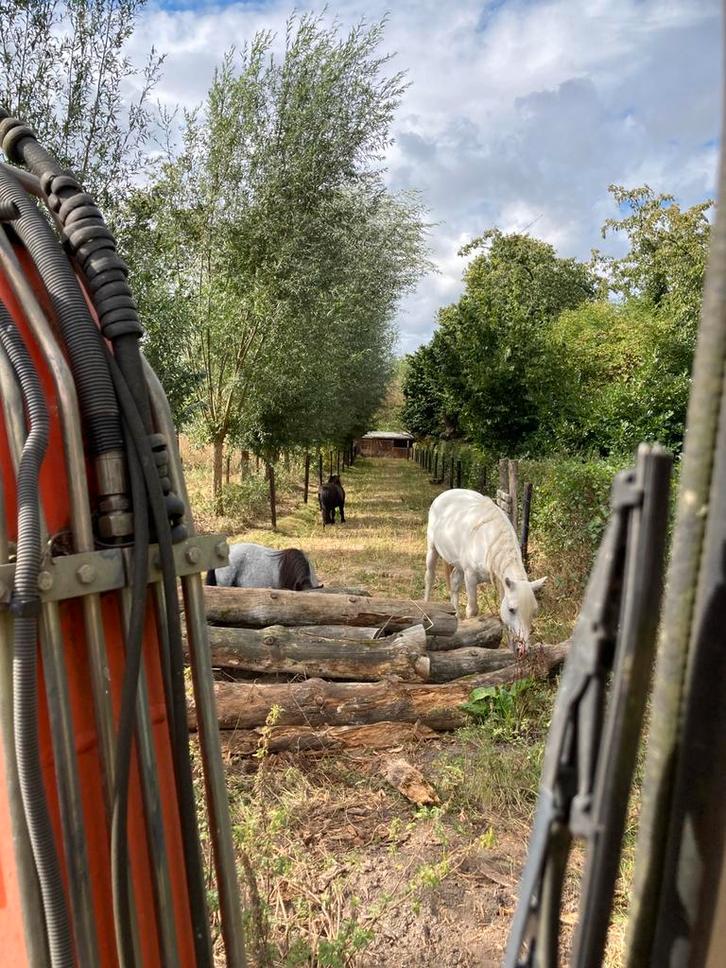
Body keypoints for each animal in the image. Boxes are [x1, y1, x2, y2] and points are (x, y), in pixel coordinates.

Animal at [423, 488, 547, 654]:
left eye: (534, 611)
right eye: (512, 609)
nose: (523, 649)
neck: (487, 540)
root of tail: (446, 493)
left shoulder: (502, 583)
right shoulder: (470, 577)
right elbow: (472, 610)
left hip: (459, 566)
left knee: (454, 582)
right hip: (432, 548)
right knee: (429, 576)